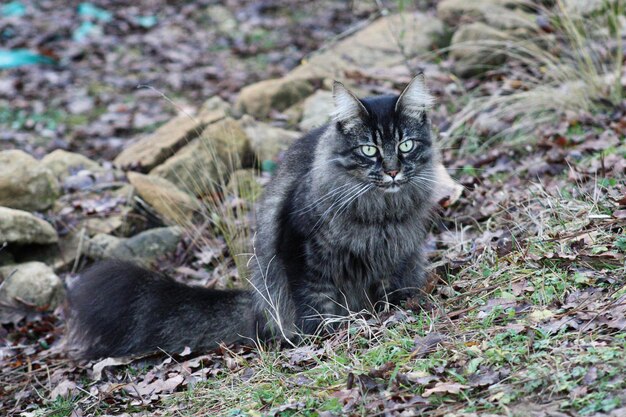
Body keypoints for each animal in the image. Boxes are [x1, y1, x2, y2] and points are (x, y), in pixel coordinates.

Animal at [66, 74, 436, 358]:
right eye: (369, 150)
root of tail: (255, 302)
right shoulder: (302, 254)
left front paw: (389, 315)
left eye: (405, 145)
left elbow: (390, 292)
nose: (392, 171)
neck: (377, 213)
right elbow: (315, 308)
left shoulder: (393, 256)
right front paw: (326, 339)